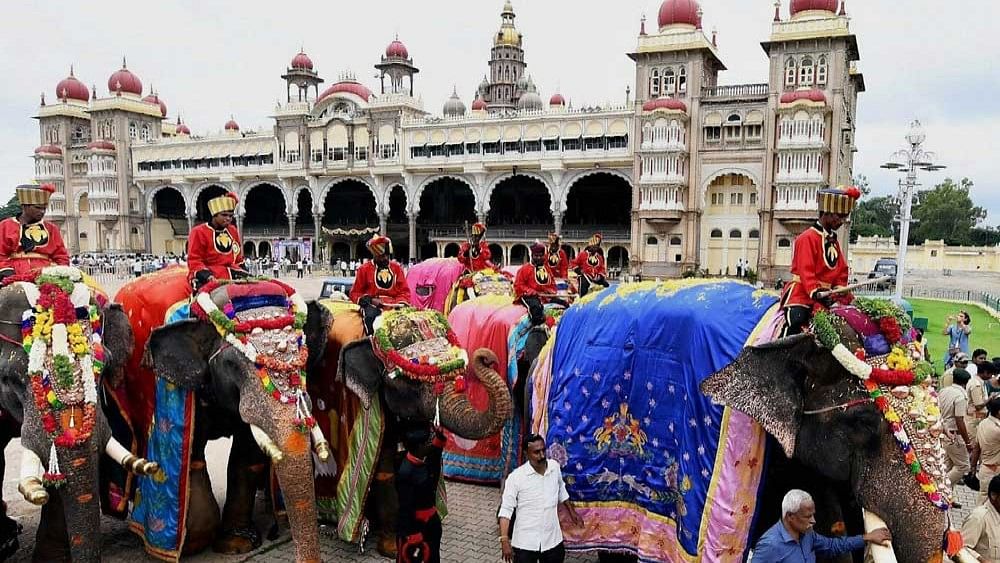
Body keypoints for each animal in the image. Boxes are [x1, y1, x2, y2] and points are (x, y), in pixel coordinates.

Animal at [117, 270, 334, 560]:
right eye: (231, 364)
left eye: (304, 356)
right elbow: (193, 454)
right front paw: (193, 542)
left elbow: (246, 455)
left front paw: (236, 543)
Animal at [308, 302, 512, 556]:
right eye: (413, 381)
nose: (487, 358)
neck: (373, 335)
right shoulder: (371, 403)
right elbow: (384, 472)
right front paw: (391, 549)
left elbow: (419, 456)